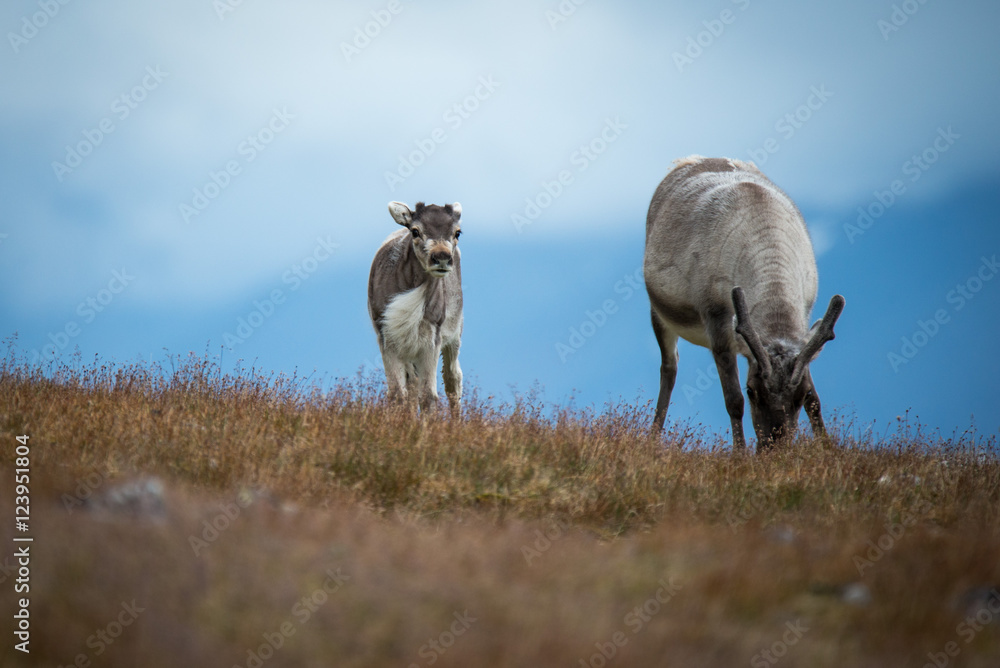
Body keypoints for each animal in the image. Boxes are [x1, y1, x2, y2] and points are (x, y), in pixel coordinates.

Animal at [368, 201, 463, 415]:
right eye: (415, 231)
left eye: (457, 232)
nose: (442, 257)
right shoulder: (386, 333)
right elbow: (397, 394)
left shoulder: (433, 335)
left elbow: (429, 396)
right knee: (412, 384)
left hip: (455, 333)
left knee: (453, 378)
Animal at [643, 156, 845, 453]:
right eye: (752, 390)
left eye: (799, 394)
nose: (774, 449)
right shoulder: (715, 316)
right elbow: (733, 400)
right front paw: (739, 453)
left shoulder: (804, 320)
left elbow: (815, 400)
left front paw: (829, 447)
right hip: (659, 311)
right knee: (669, 366)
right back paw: (652, 436)